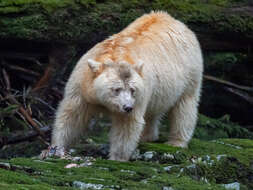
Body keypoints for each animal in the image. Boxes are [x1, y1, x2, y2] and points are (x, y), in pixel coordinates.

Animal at [48, 11, 204, 161]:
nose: (128, 107)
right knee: (153, 111)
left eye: (132, 90)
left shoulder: (141, 92)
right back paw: (147, 136)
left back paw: (176, 141)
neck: (117, 55)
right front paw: (57, 147)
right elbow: (73, 114)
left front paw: (117, 157)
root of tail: (174, 20)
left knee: (184, 106)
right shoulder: (82, 83)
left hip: (190, 72)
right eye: (116, 89)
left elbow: (127, 125)